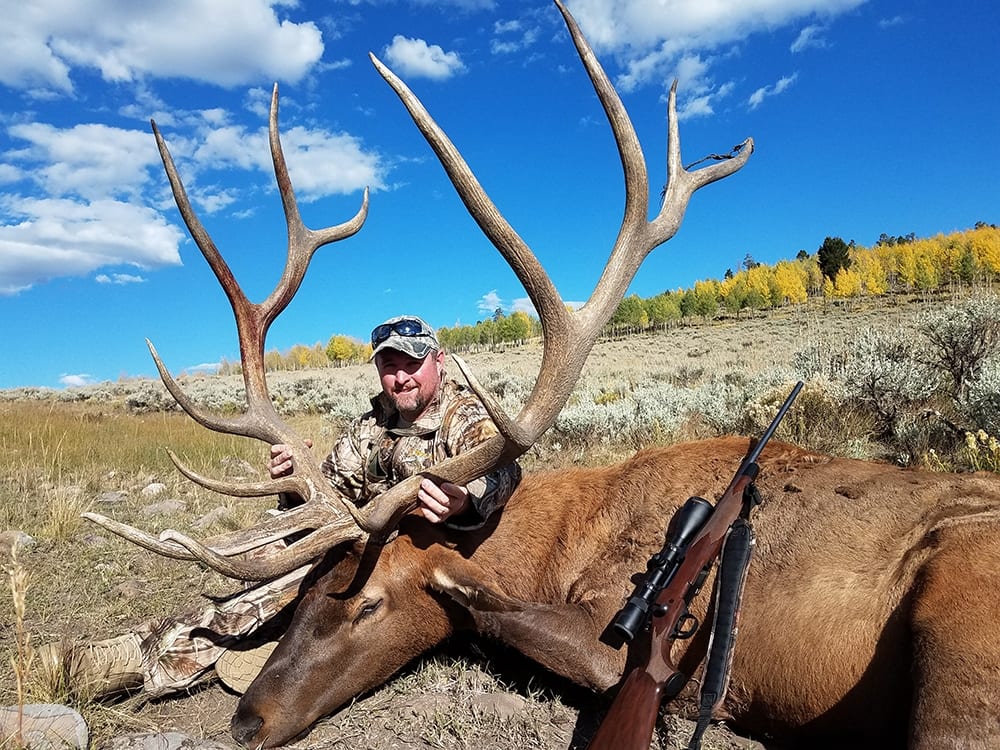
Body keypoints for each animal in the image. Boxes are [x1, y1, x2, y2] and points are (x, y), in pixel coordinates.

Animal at [81, 2, 1000, 749]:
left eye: (367, 603)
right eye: (305, 594)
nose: (245, 723)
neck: (556, 545)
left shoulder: (635, 642)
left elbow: (560, 646)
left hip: (963, 638)